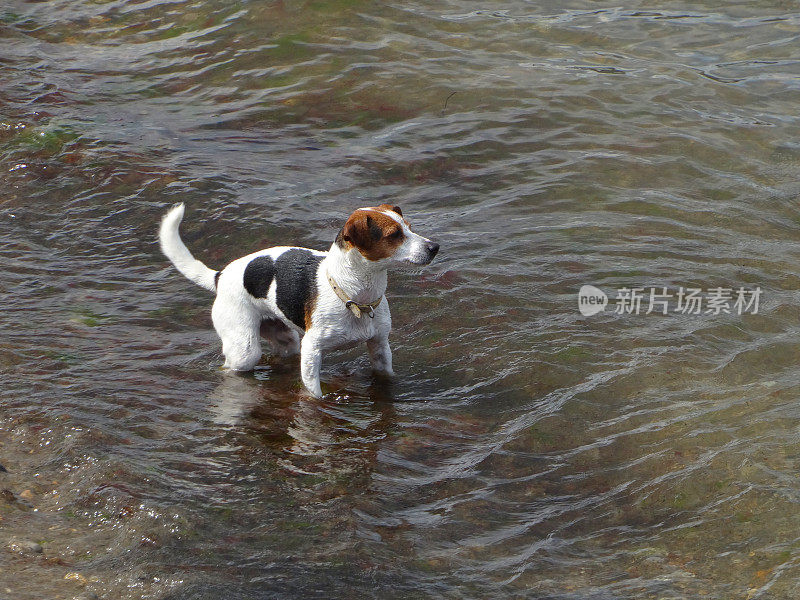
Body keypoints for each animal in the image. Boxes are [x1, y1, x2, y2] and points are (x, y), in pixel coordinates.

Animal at [160, 203, 440, 398]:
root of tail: (220, 276)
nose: (434, 247)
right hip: (245, 350)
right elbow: (314, 394)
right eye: (394, 235)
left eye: (410, 227)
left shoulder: (380, 347)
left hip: (286, 340)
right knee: (231, 367)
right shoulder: (312, 352)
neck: (354, 295)